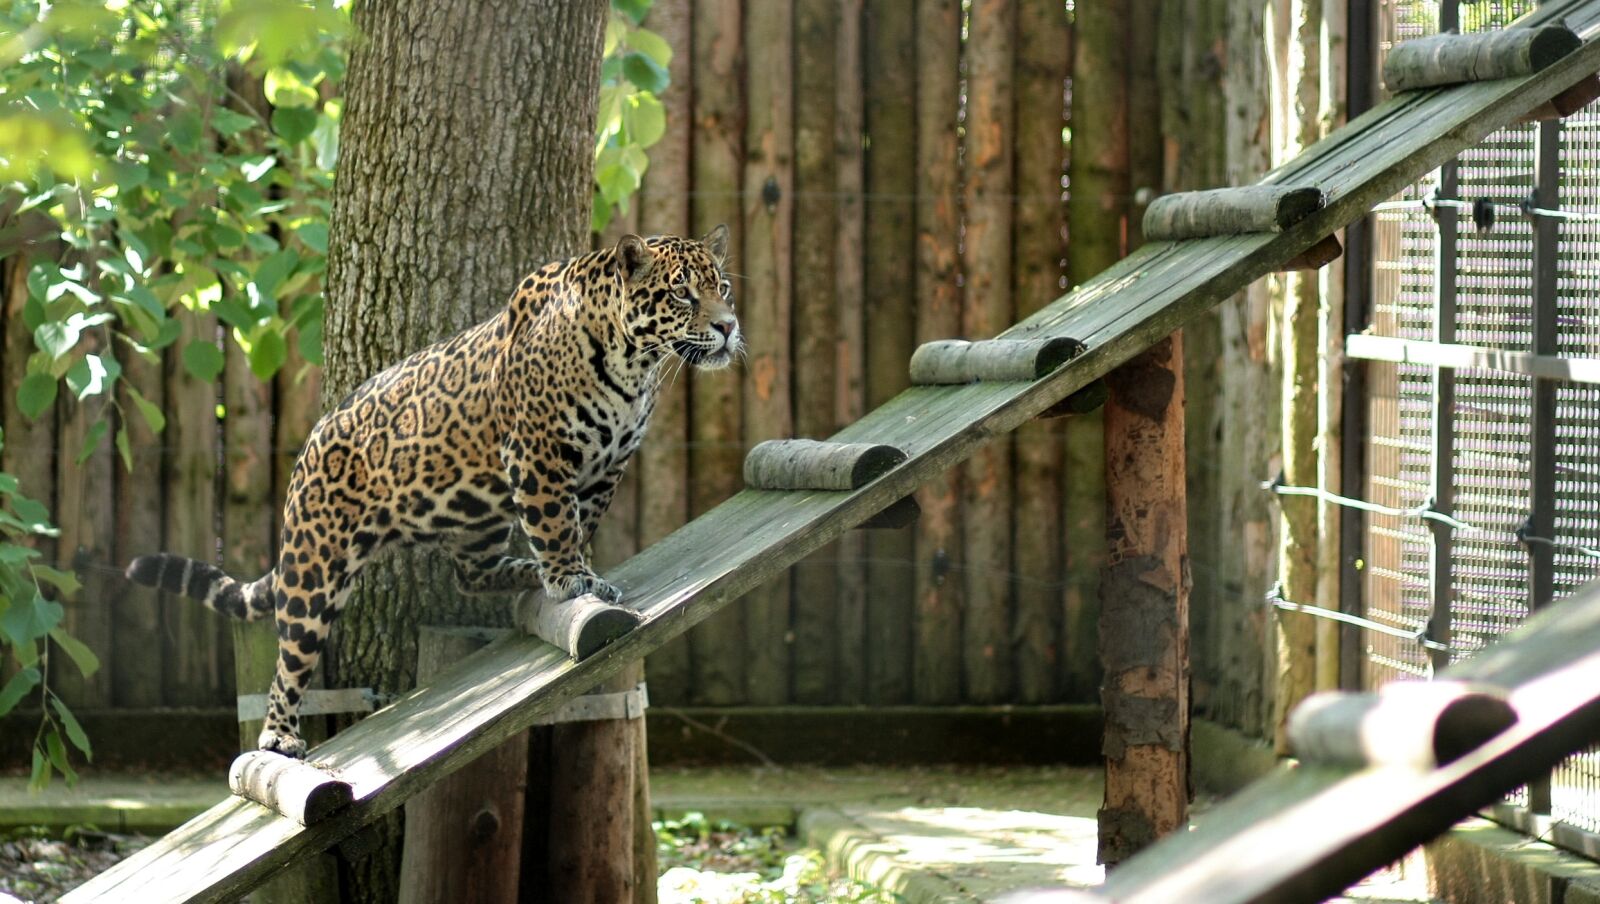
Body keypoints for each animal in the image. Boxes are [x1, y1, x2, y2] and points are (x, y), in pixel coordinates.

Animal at [126, 227, 740, 758]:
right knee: (289, 658)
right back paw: (278, 737)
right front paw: (570, 579)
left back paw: (523, 572)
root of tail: (308, 448)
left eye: (724, 288)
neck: (634, 365)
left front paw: (576, 573)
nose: (730, 327)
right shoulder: (537, 453)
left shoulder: (607, 469)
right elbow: (555, 522)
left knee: (469, 574)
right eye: (682, 292)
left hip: (478, 518)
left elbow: (578, 522)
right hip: (315, 568)